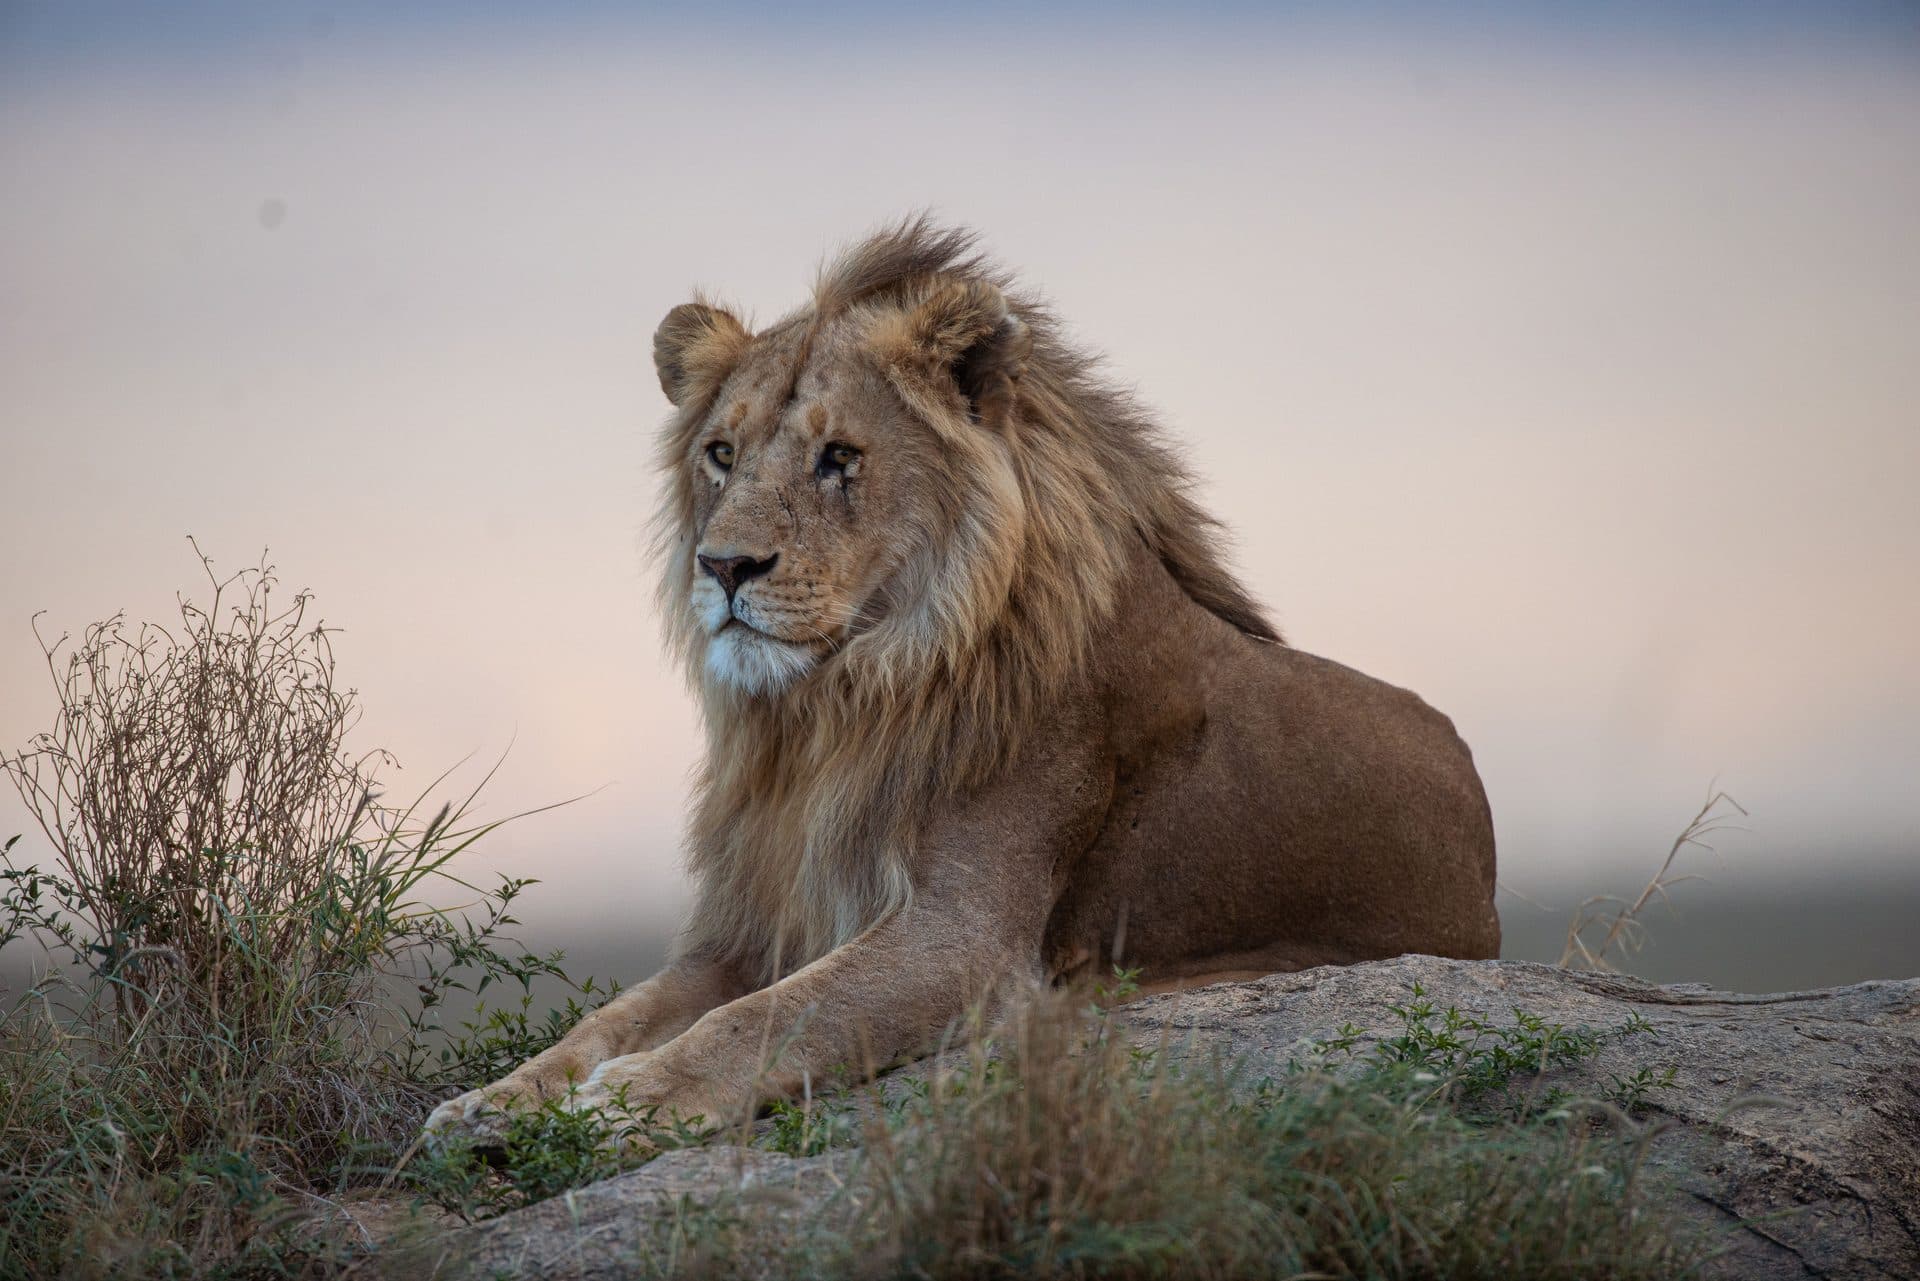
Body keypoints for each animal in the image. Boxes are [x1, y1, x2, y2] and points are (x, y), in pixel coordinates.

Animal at [426, 218, 1499, 1143]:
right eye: (720, 454)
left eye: (838, 457)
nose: (724, 566)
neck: (832, 712)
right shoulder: (746, 931)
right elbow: (607, 1020)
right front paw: (495, 1102)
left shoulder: (966, 938)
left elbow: (778, 1016)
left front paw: (628, 1100)